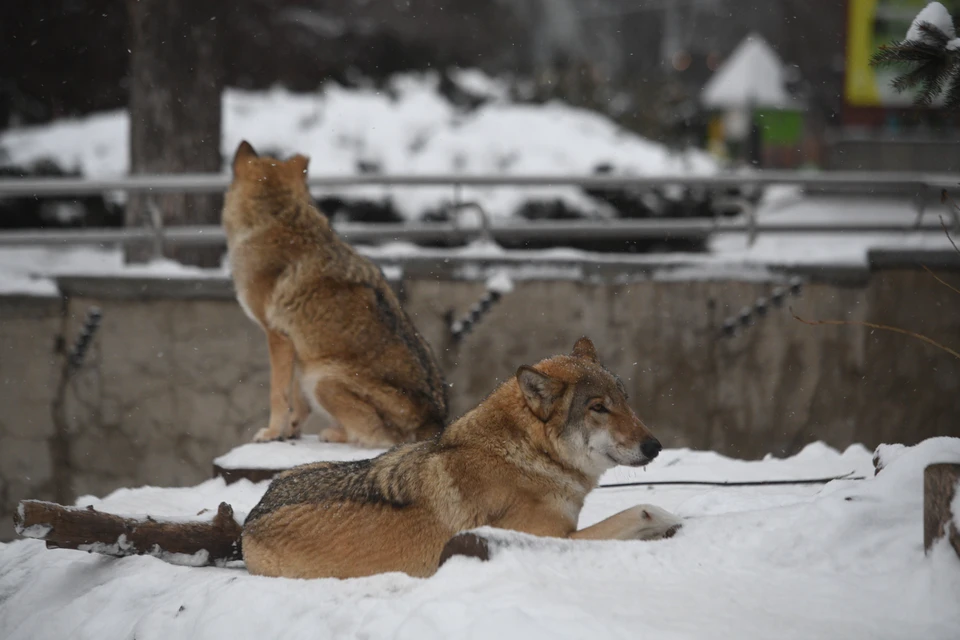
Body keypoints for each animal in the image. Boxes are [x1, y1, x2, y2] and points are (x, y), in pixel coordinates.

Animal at [223, 142, 448, 448]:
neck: (276, 217)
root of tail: (436, 426)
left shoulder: (278, 337)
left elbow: (278, 394)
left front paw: (271, 433)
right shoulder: (299, 346)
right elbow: (297, 401)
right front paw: (289, 431)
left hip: (322, 379)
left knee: (377, 438)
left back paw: (333, 434)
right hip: (313, 371)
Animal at [244, 340, 680, 580]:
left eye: (624, 400)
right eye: (598, 408)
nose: (655, 446)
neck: (527, 454)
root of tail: (251, 517)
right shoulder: (549, 539)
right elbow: (636, 511)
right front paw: (662, 518)